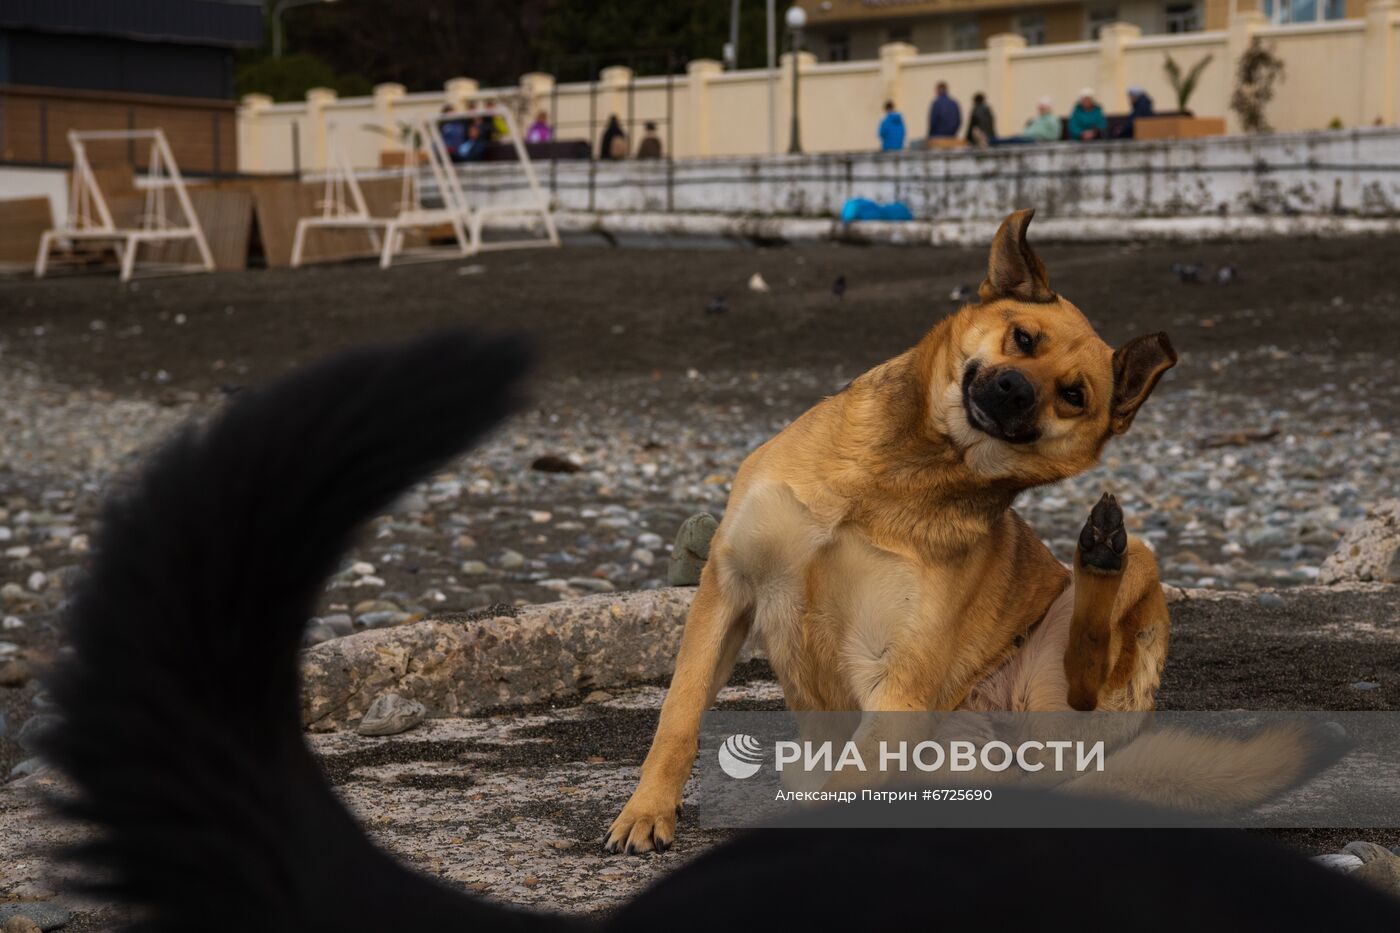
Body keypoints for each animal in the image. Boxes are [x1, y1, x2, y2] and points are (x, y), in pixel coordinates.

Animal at [607, 210, 1176, 851]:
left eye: (1074, 395)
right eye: (1024, 339)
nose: (1015, 390)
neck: (898, 472)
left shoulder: (897, 684)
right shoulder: (727, 588)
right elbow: (679, 713)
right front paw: (647, 809)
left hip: (1124, 596)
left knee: (1086, 679)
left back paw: (1100, 550)